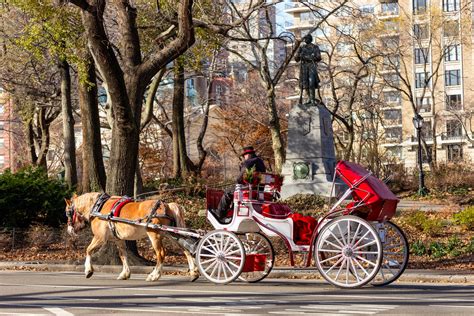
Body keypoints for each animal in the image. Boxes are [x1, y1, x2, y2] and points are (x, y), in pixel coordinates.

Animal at [65, 193, 198, 282]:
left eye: (67, 212)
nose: (69, 230)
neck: (98, 207)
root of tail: (167, 205)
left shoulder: (100, 237)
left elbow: (88, 250)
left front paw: (88, 270)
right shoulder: (118, 239)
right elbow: (123, 255)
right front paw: (125, 274)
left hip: (154, 234)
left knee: (161, 253)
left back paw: (154, 275)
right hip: (172, 234)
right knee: (186, 250)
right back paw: (194, 272)